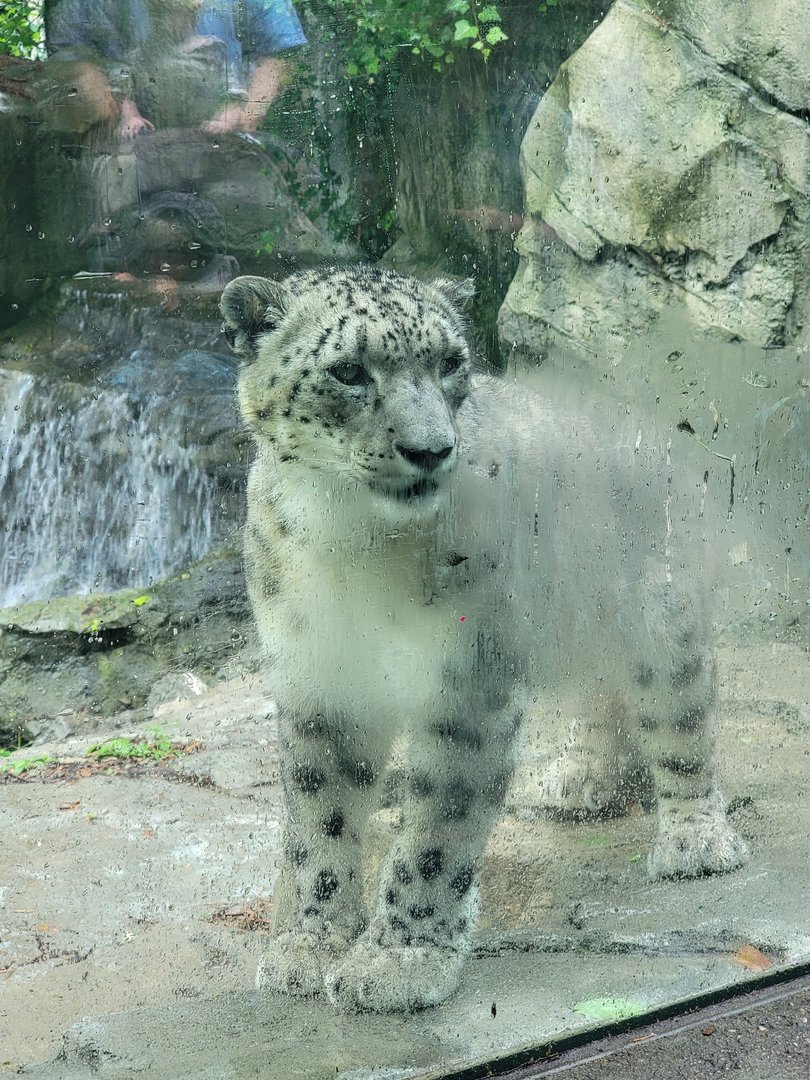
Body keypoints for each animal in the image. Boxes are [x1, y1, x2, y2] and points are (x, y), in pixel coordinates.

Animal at [219, 265, 749, 1014]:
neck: (348, 538)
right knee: (599, 691)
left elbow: (436, 832)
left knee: (679, 717)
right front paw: (311, 945)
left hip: (658, 611)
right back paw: (579, 778)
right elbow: (321, 821)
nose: (429, 449)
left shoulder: (469, 684)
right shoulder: (318, 680)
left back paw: (695, 840)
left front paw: (399, 962)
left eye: (448, 362)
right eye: (349, 370)